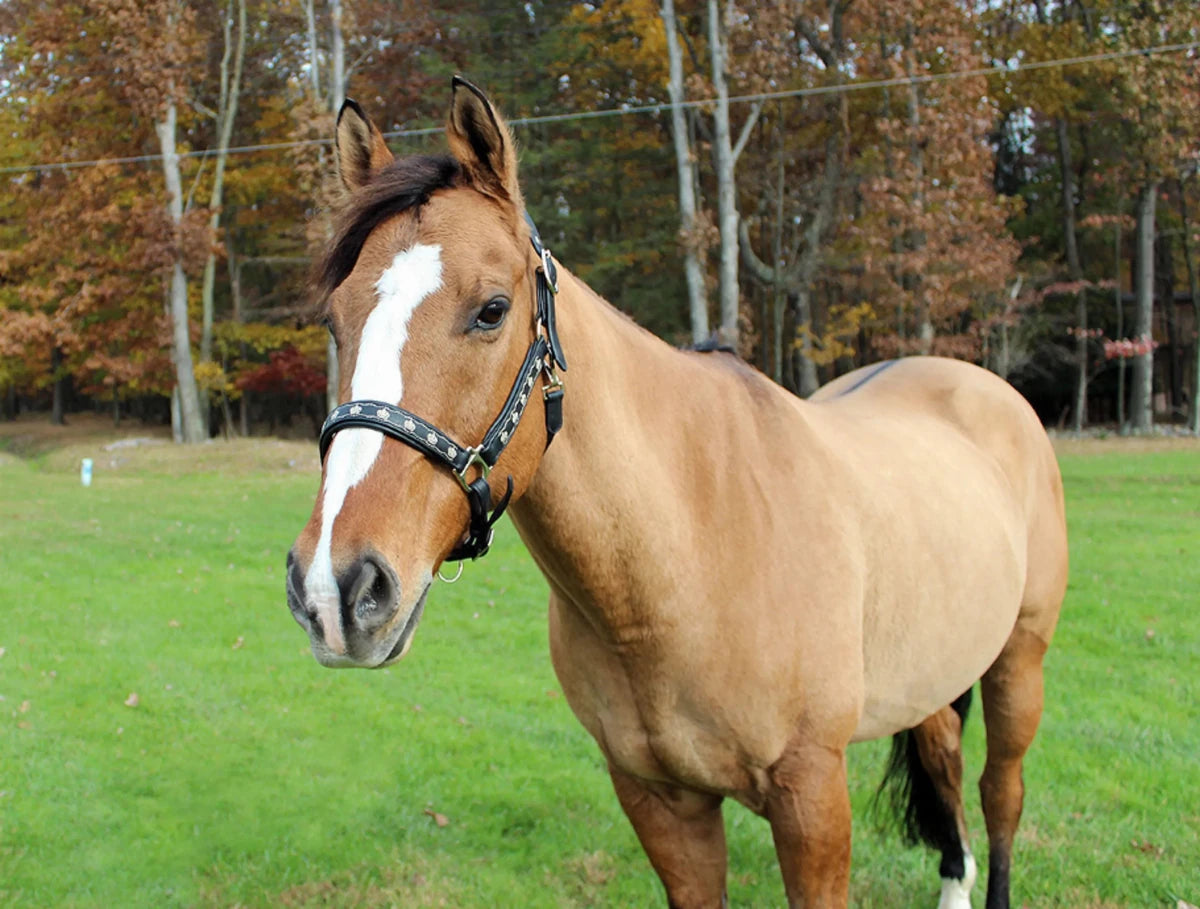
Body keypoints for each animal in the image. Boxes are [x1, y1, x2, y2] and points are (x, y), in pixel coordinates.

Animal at [285, 78, 1068, 909]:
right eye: (333, 319)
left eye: (492, 309)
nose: (336, 588)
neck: (689, 552)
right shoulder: (659, 799)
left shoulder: (812, 794)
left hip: (1020, 661)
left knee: (999, 792)